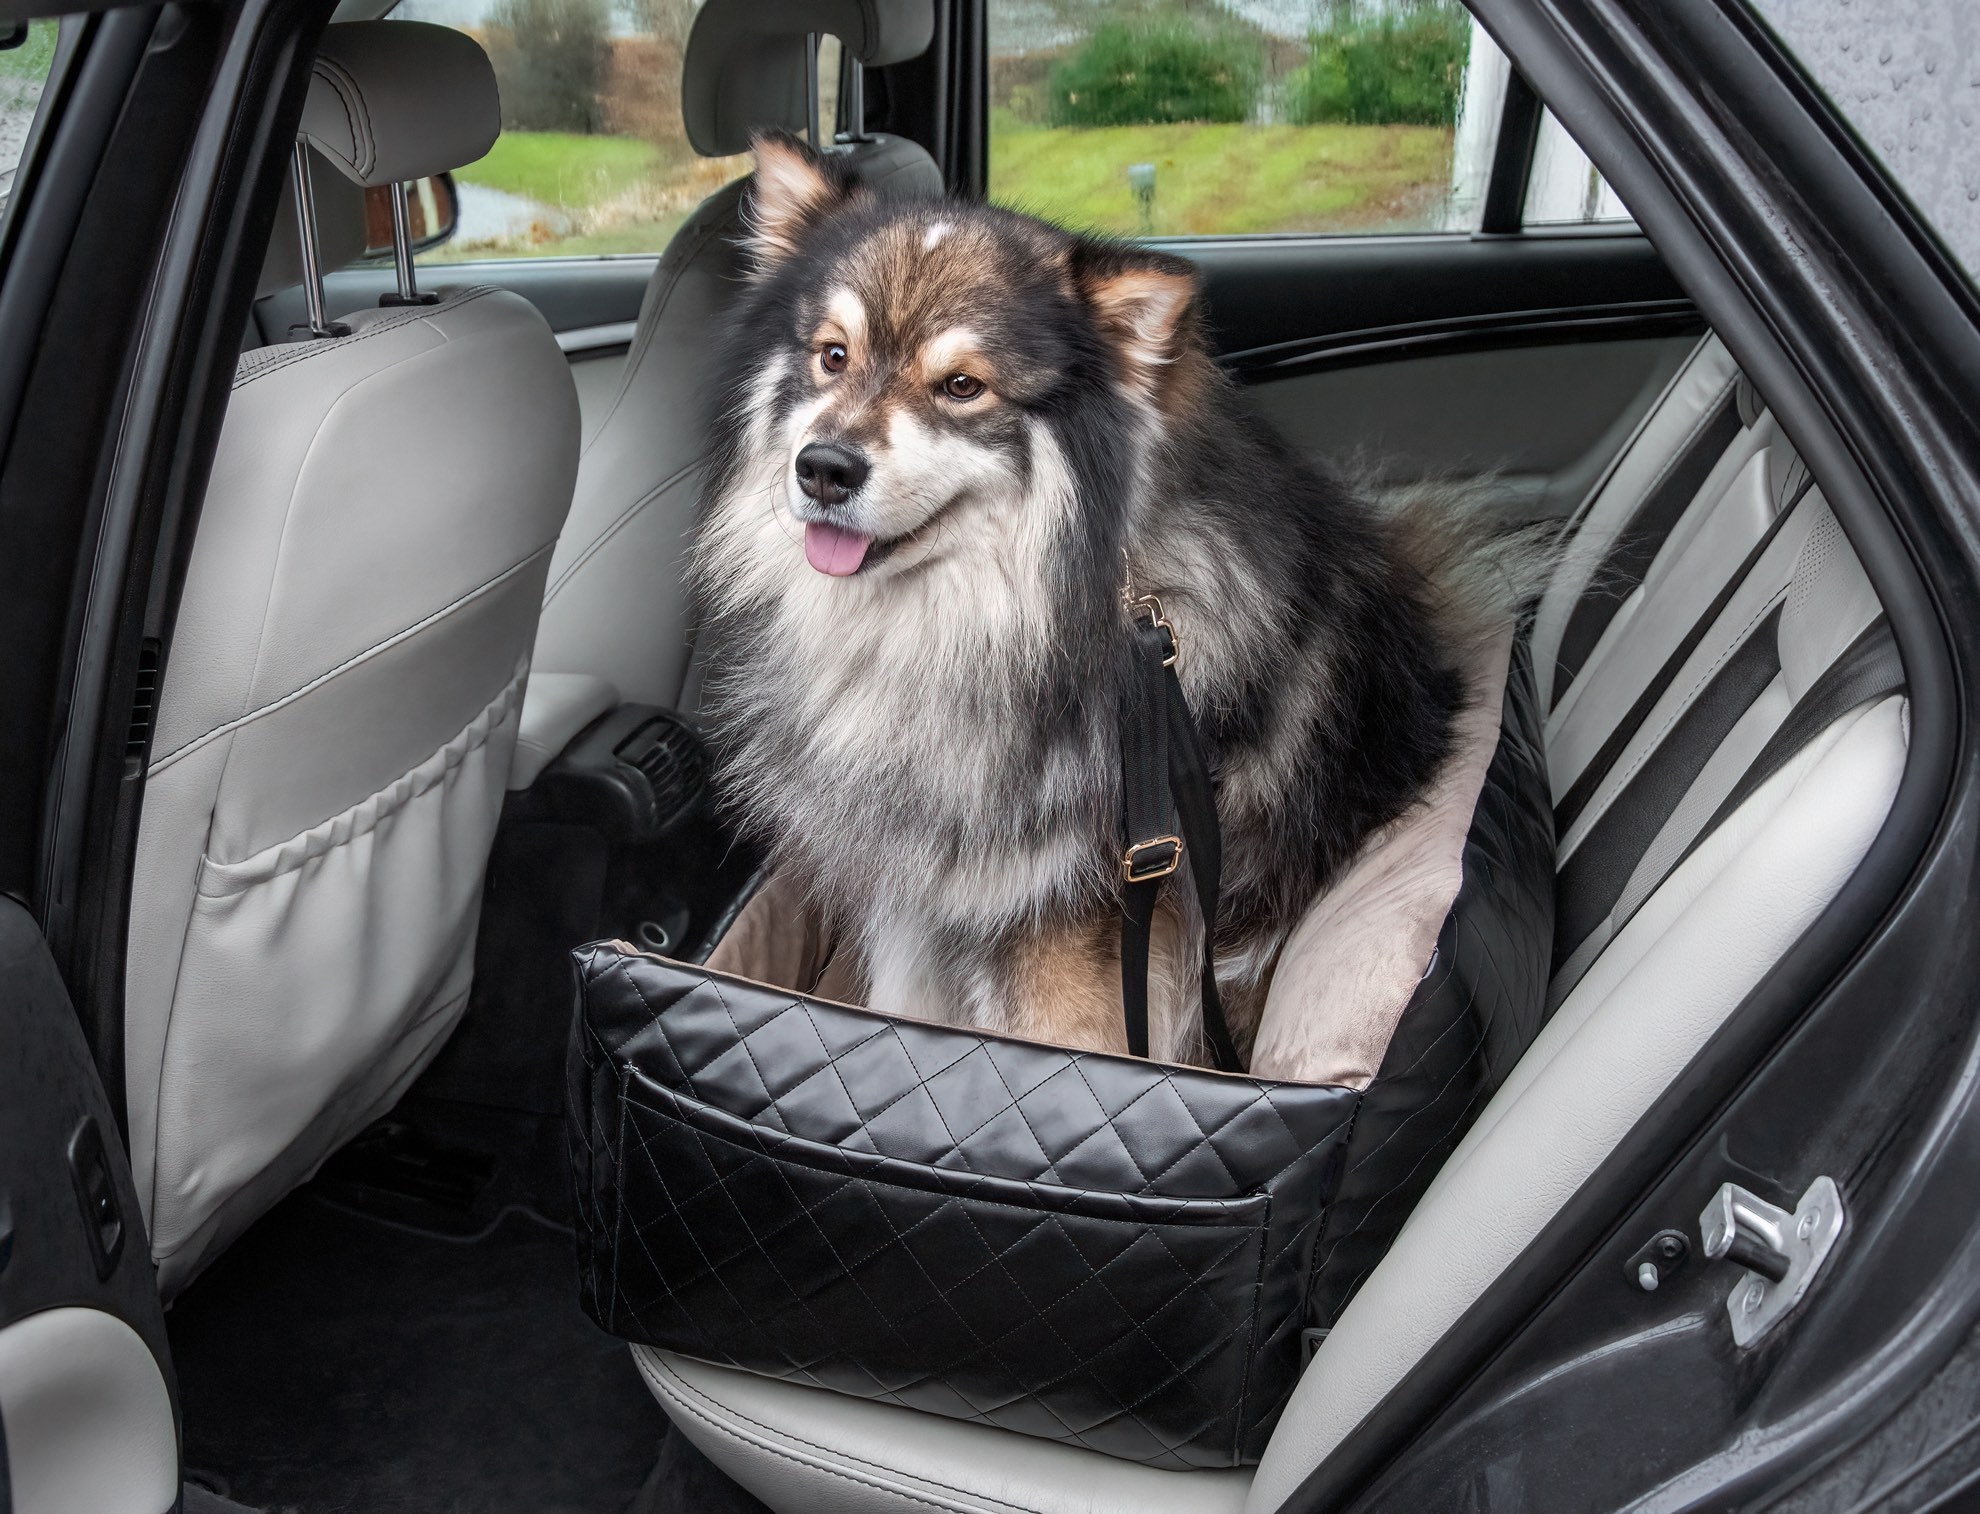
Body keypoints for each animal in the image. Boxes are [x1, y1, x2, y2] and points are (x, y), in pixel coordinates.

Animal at [693, 135, 1528, 1068]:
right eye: (833, 354)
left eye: (962, 387)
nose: (824, 469)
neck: (990, 623)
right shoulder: (921, 904)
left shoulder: (1072, 939)